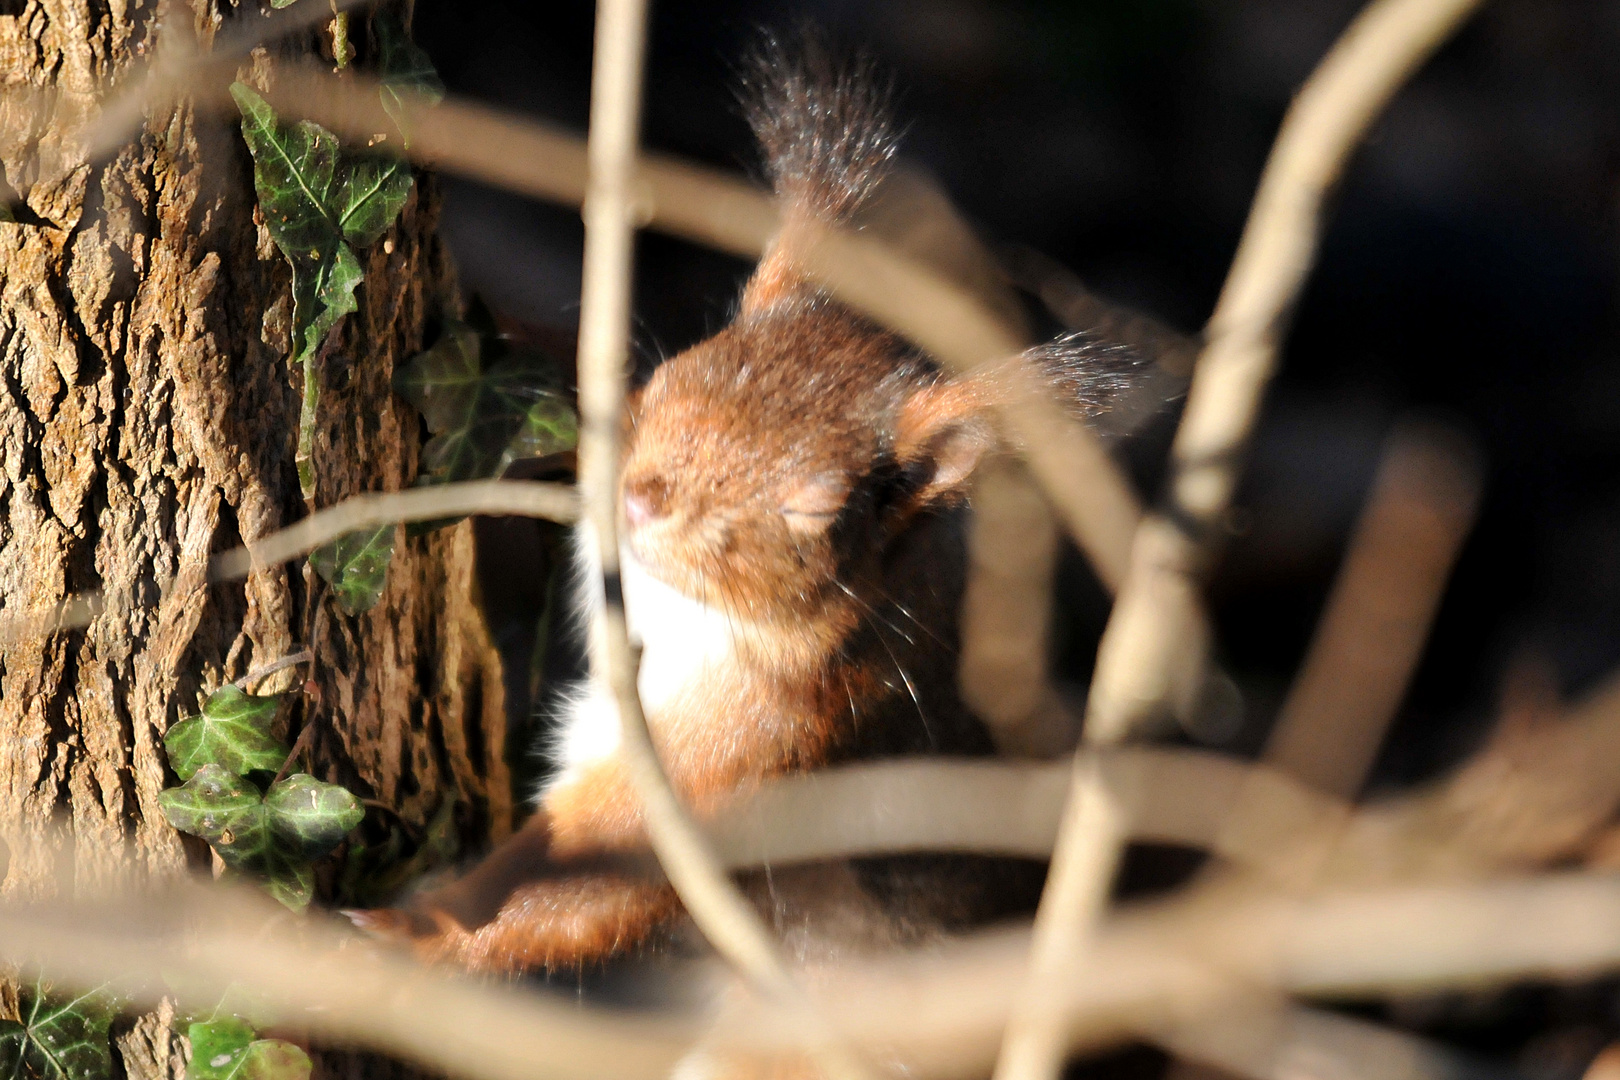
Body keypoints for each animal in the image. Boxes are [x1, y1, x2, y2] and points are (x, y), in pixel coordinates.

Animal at [354, 42, 1140, 977]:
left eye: (818, 508)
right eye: (664, 378)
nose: (640, 500)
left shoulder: (761, 738)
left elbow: (595, 872)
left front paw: (410, 929)